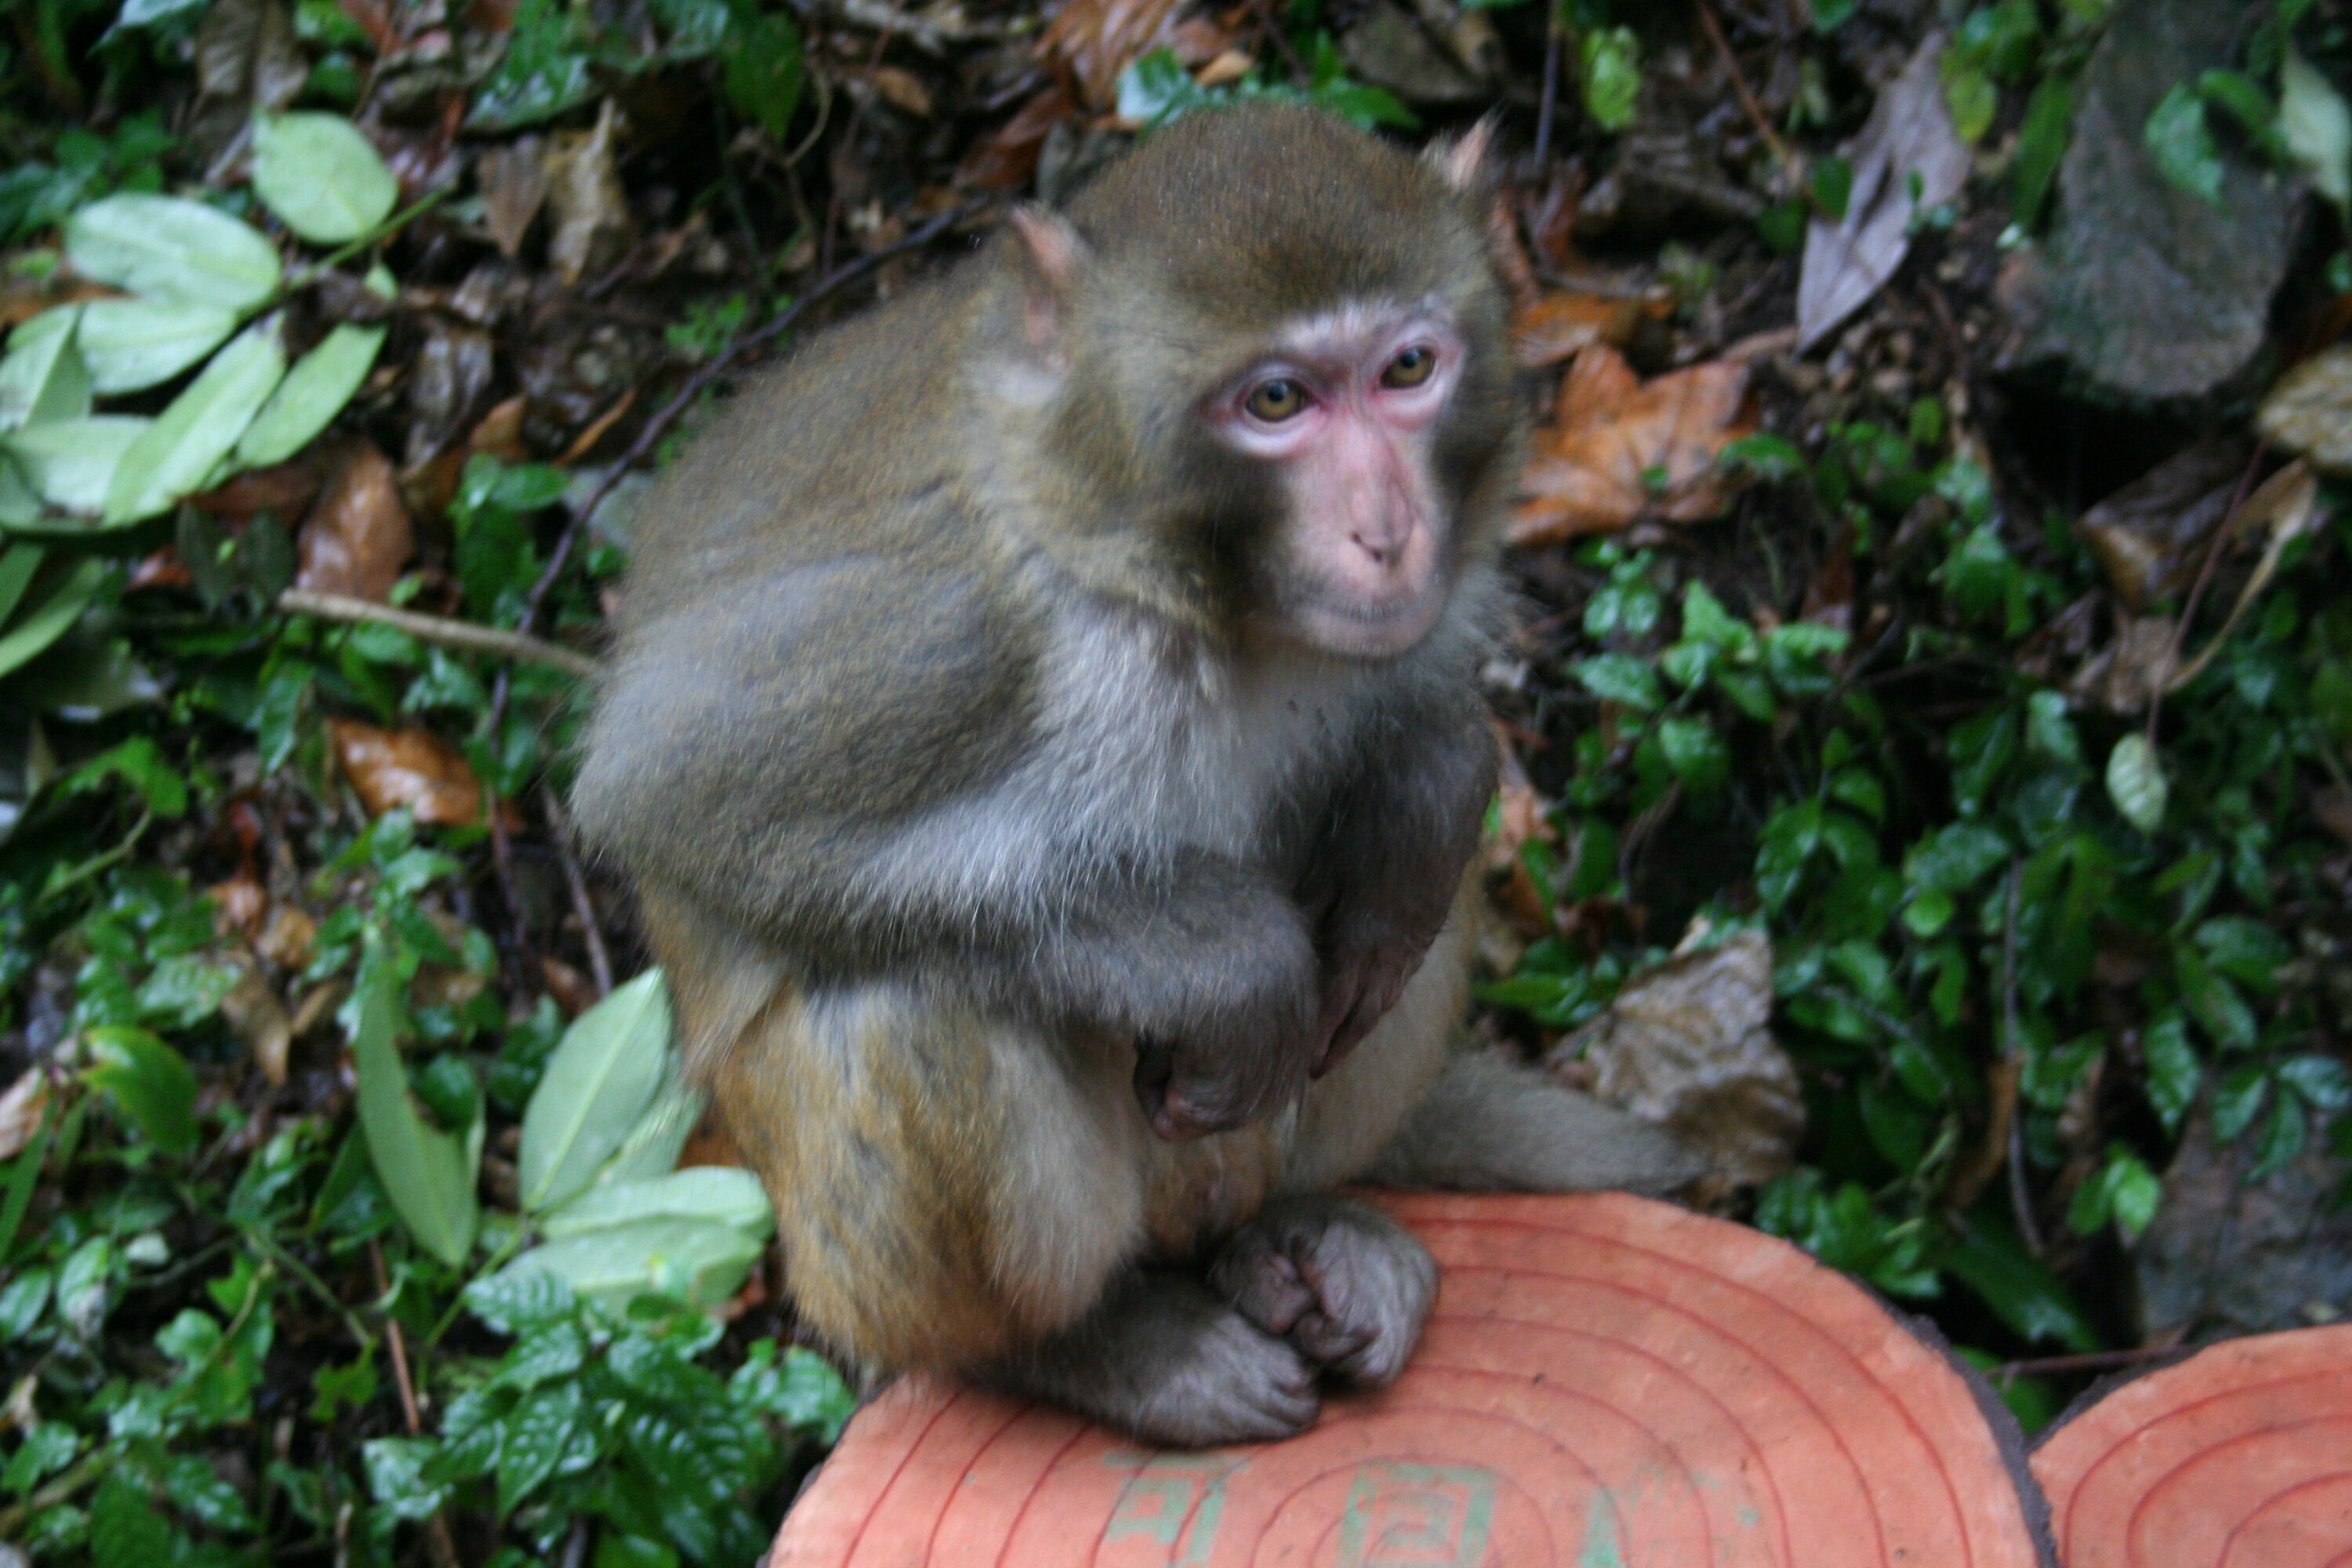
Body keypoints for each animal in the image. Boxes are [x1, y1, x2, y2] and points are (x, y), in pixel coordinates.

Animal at [571, 102, 1701, 1448]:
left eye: (1407, 371)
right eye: (1277, 400)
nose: (1386, 532)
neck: (1188, 589)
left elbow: (1417, 760)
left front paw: (1428, 785)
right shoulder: (951, 619)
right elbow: (676, 794)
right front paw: (1224, 956)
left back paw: (1304, 1234)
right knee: (909, 1007)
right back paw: (1082, 1347)